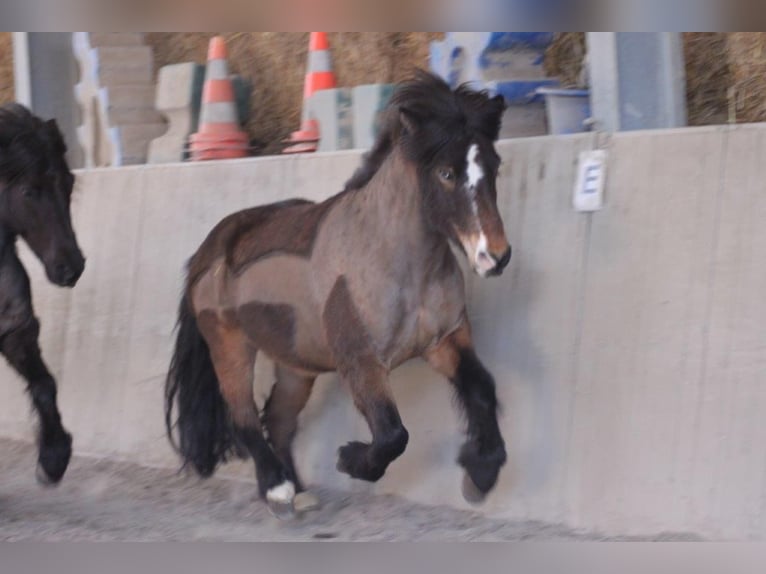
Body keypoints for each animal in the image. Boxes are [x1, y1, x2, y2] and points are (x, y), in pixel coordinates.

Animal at [165, 71, 511, 518]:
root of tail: (207, 251)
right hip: (230, 347)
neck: (396, 263)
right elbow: (393, 434)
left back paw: (299, 490)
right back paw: (277, 489)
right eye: (446, 174)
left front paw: (481, 474)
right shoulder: (361, 363)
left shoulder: (444, 341)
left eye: (494, 166)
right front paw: (350, 460)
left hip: (296, 364)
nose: (495, 256)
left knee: (278, 420)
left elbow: (482, 389)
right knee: (244, 417)